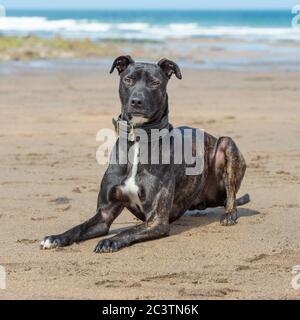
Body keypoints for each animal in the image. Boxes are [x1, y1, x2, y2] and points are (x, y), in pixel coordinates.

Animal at [41, 56, 250, 254]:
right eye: (128, 80)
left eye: (154, 83)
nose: (136, 101)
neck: (138, 139)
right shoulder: (104, 215)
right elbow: (78, 227)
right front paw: (56, 238)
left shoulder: (157, 220)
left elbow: (129, 230)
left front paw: (110, 241)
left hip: (226, 144)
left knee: (231, 195)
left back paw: (229, 214)